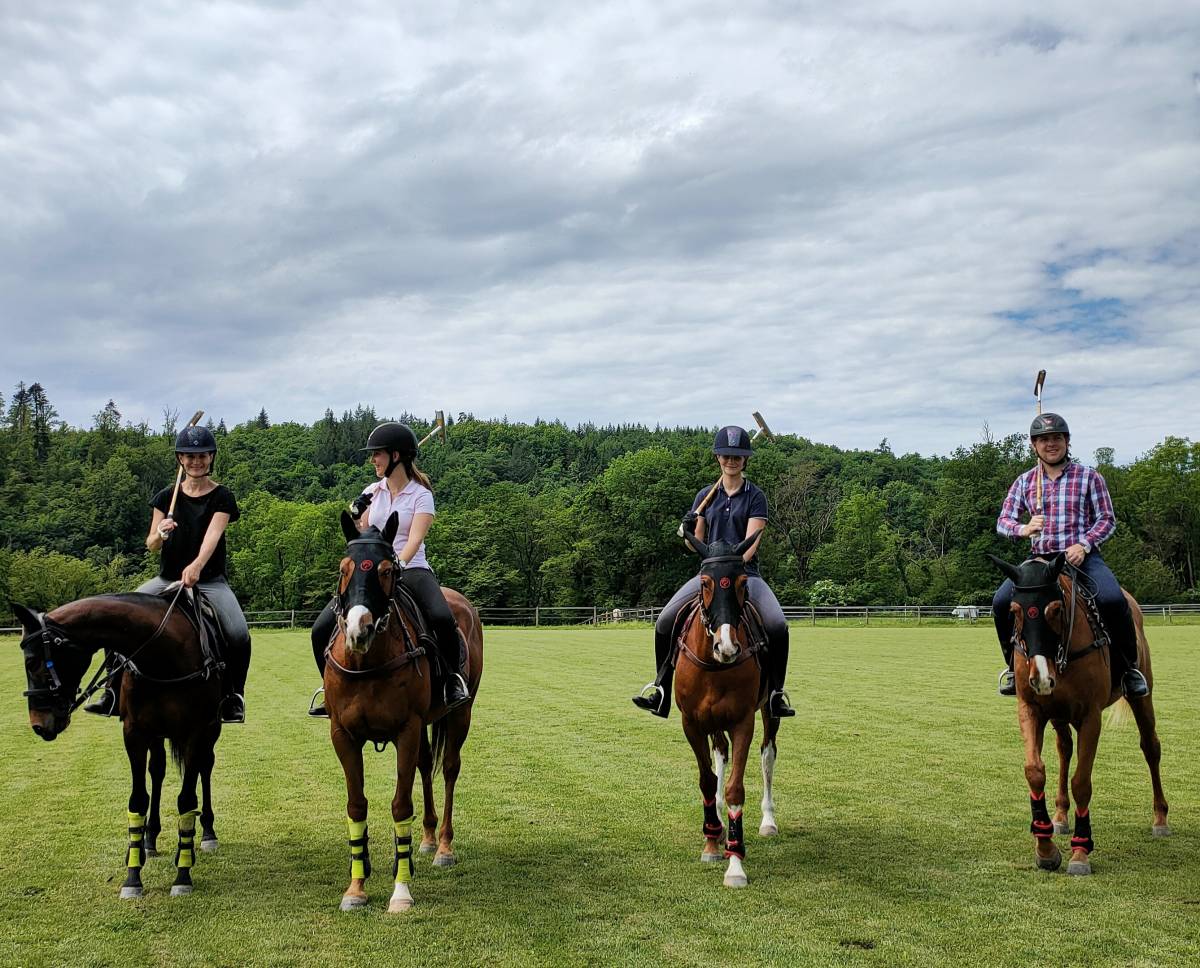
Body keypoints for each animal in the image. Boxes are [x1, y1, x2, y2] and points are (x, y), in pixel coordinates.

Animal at [12, 590, 225, 902]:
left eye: (32, 663)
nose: (39, 725)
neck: (161, 654)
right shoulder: (134, 733)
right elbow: (138, 800)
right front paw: (133, 875)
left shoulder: (196, 732)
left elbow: (187, 800)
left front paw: (183, 873)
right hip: (157, 735)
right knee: (158, 771)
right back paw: (150, 838)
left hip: (210, 731)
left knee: (204, 768)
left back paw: (208, 832)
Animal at [326, 510, 484, 911]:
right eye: (343, 568)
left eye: (386, 570)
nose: (359, 630)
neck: (367, 663)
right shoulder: (342, 735)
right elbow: (356, 805)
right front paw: (356, 887)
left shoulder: (407, 730)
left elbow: (400, 805)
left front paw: (400, 892)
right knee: (426, 766)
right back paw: (426, 839)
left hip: (460, 712)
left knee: (449, 768)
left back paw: (443, 846)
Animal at [672, 534, 782, 887]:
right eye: (705, 582)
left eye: (742, 582)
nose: (727, 647)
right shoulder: (691, 723)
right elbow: (708, 780)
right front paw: (711, 840)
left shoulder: (742, 721)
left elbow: (736, 787)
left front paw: (735, 865)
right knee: (720, 752)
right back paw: (718, 825)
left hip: (769, 712)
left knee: (767, 754)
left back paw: (767, 821)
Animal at [988, 551, 1166, 878]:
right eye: (1015, 611)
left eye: (1056, 609)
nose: (1041, 678)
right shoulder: (1030, 709)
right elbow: (1034, 771)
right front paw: (1045, 847)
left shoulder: (1090, 717)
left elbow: (1082, 782)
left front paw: (1081, 852)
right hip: (1058, 715)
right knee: (1064, 749)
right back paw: (1060, 816)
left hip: (1143, 697)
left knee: (1151, 747)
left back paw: (1160, 818)